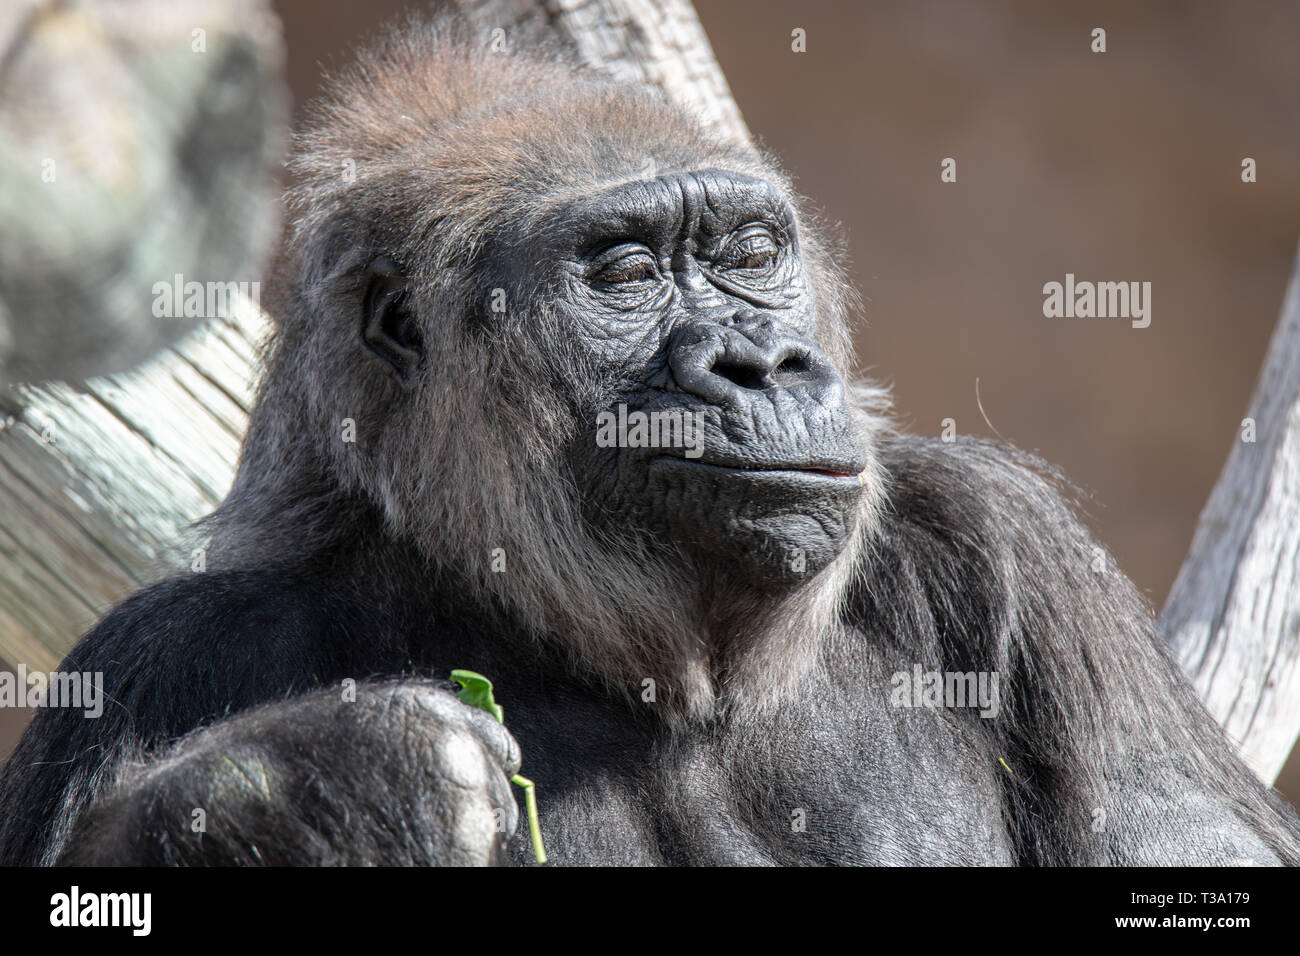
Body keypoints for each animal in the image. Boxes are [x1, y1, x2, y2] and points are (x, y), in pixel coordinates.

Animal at [1, 13, 1296, 866]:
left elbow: (1187, 843)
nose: (760, 363)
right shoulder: (171, 646)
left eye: (750, 255)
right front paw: (308, 786)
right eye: (623, 274)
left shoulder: (1005, 536)